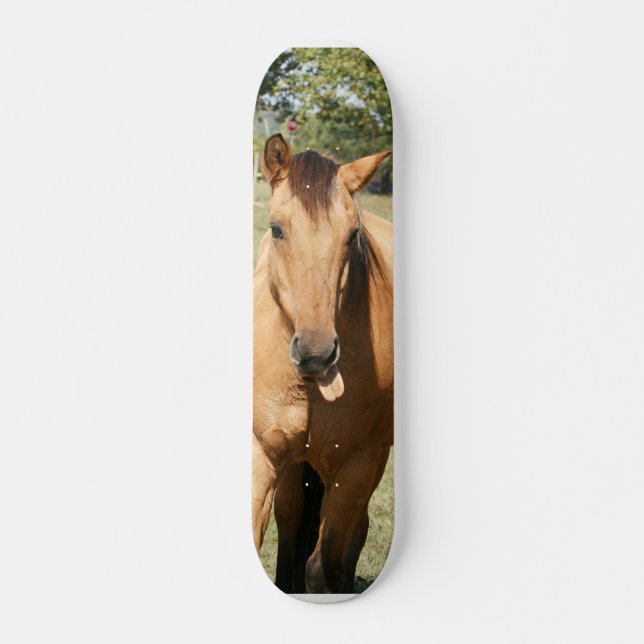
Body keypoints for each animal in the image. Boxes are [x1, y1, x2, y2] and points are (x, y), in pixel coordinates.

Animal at [253, 133, 393, 593]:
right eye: (276, 229)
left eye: (351, 236)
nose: (316, 353)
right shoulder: (263, 455)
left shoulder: (357, 467)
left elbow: (324, 565)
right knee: (292, 517)